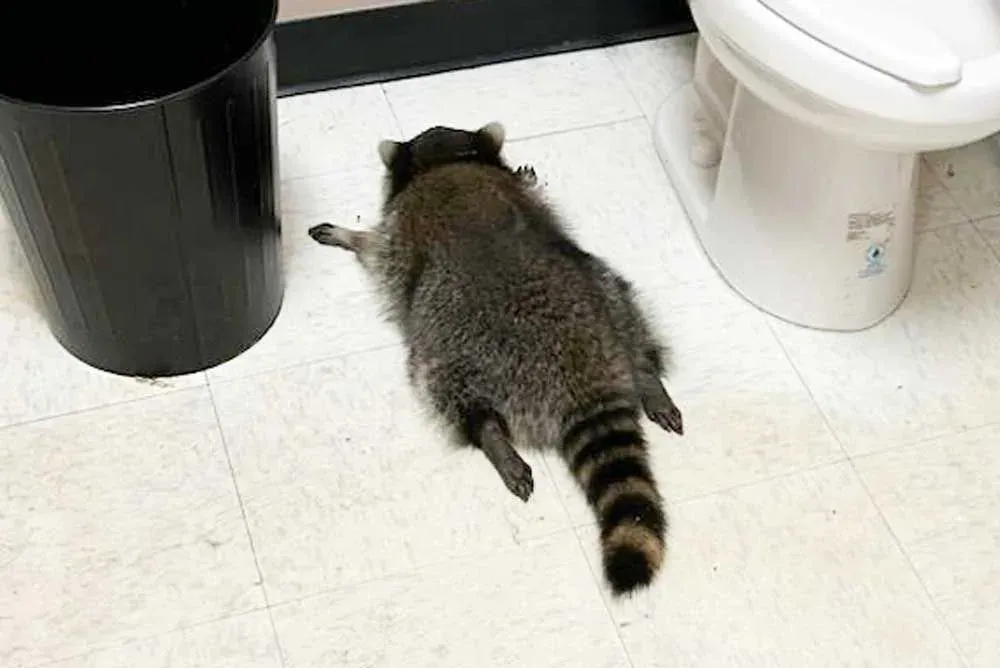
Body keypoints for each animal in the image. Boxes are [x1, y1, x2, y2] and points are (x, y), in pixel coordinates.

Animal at [308, 122, 683, 596]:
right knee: (626, 306)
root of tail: (585, 376)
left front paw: (349, 235)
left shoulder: (399, 233)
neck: (448, 161)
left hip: (457, 351)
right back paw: (647, 375)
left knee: (446, 389)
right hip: (607, 293)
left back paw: (490, 435)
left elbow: (376, 248)